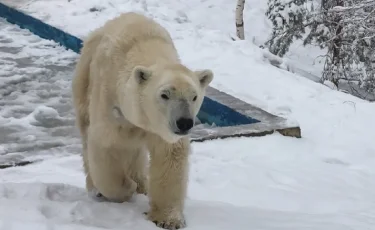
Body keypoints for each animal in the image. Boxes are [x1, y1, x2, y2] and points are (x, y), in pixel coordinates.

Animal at [71, 12, 214, 228]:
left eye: (194, 96)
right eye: (164, 95)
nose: (184, 123)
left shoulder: (162, 130)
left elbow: (169, 156)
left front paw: (168, 219)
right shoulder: (110, 104)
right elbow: (105, 147)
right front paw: (125, 188)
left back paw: (141, 184)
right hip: (84, 79)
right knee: (87, 135)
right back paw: (101, 187)